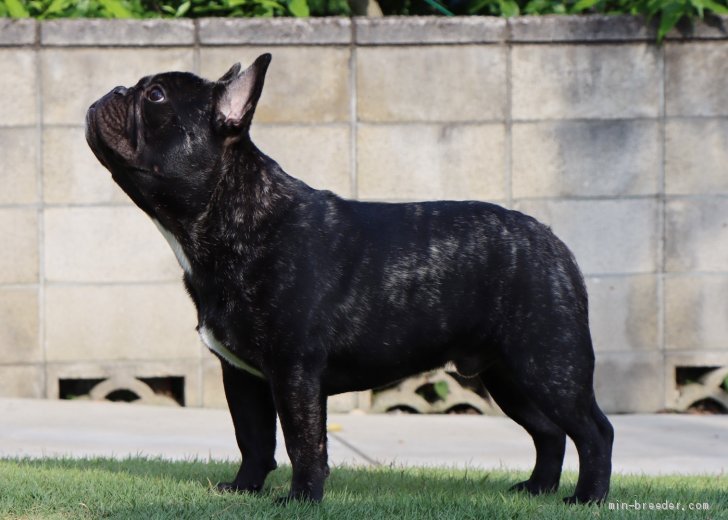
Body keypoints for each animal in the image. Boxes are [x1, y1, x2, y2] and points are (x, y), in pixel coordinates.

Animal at [85, 52, 612, 504]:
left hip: (548, 366)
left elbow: (303, 443)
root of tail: (553, 242)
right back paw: (538, 490)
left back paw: (587, 498)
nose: (114, 89)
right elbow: (252, 438)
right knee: (549, 432)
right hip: (508, 376)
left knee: (593, 431)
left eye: (155, 96)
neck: (233, 216)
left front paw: (301, 499)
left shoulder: (294, 372)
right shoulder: (242, 375)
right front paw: (244, 490)